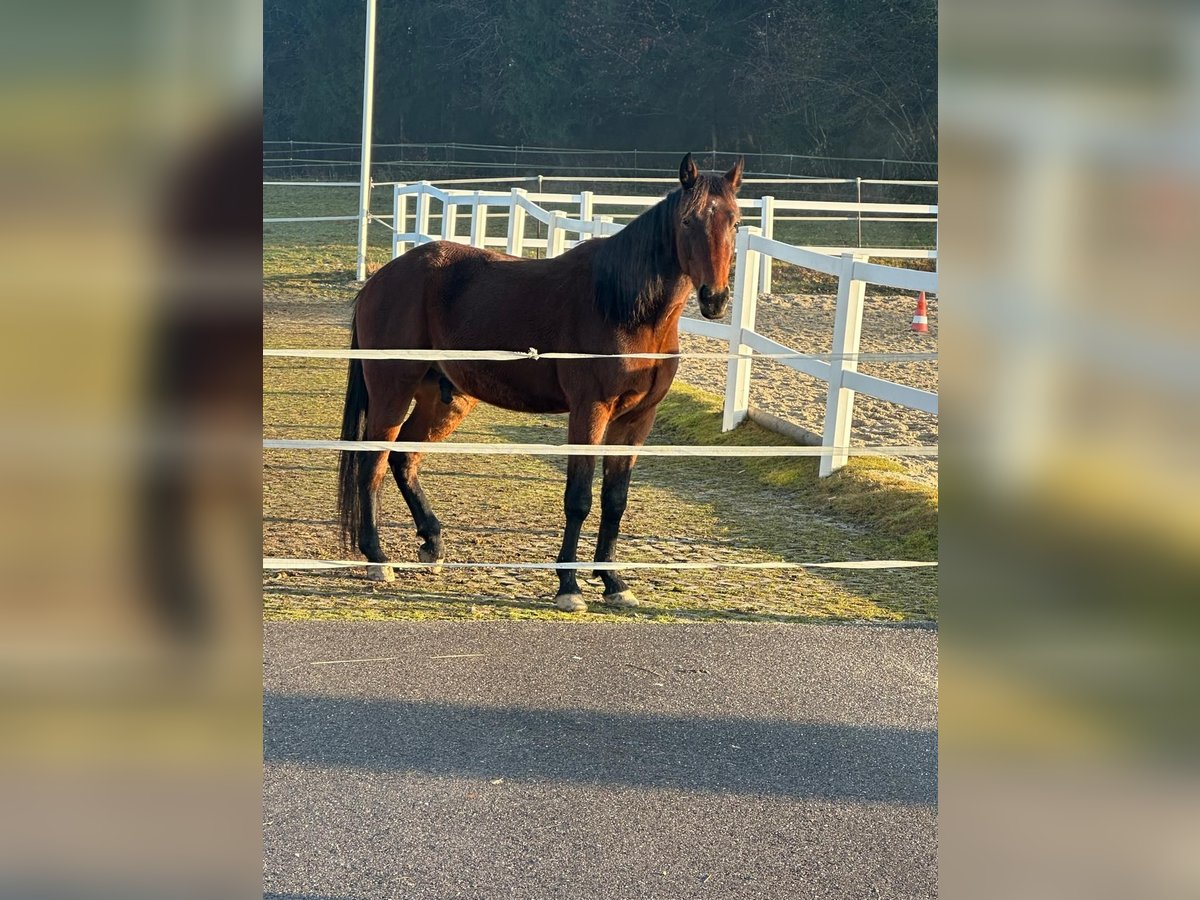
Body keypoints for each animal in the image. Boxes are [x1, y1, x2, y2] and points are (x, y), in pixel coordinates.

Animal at [331, 153, 739, 614]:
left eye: (735, 221)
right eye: (687, 221)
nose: (715, 298)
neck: (624, 306)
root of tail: (380, 279)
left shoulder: (636, 420)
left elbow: (615, 500)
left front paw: (614, 583)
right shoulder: (590, 412)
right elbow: (578, 498)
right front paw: (569, 587)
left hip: (445, 399)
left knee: (403, 459)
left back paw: (432, 543)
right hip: (392, 391)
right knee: (372, 464)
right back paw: (377, 558)